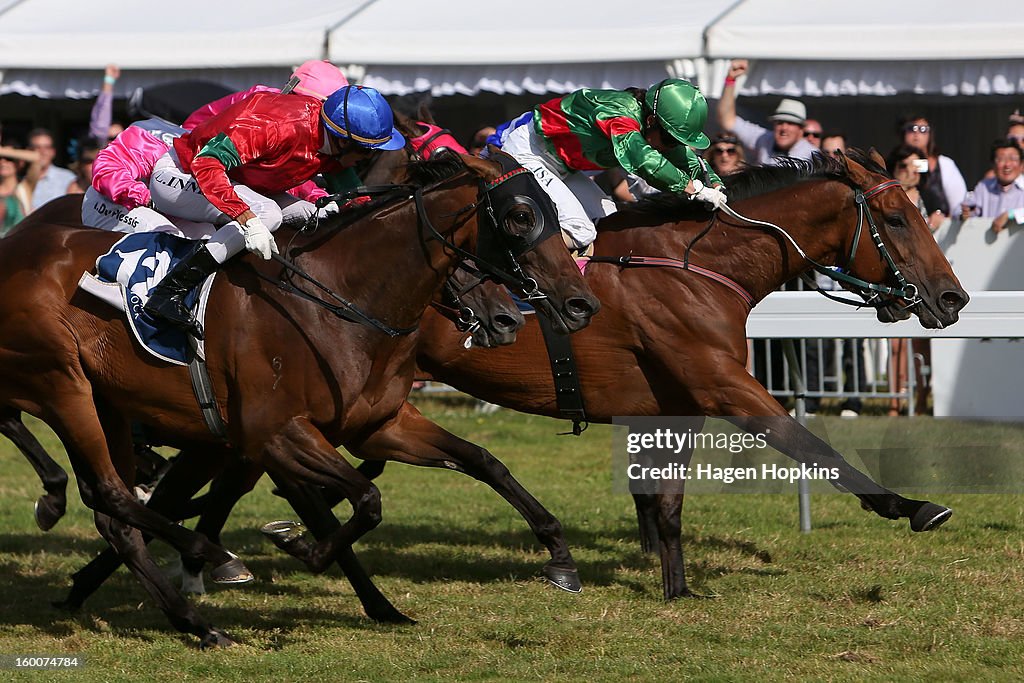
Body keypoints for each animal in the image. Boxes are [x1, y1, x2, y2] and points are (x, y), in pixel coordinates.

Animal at [0, 152, 598, 651]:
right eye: (520, 215)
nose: (579, 304)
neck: (339, 302)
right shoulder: (274, 433)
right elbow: (364, 500)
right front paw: (296, 545)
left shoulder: (377, 425)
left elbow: (482, 462)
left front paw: (559, 558)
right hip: (63, 383)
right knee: (109, 493)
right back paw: (197, 555)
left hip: (110, 404)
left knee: (116, 513)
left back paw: (197, 622)